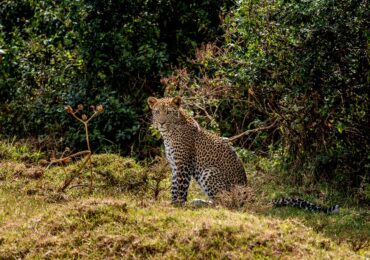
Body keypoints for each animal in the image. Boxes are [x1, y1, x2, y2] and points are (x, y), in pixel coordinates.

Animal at [149, 96, 340, 213]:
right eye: (157, 112)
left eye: (168, 112)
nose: (161, 122)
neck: (169, 133)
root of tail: (248, 195)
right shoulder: (175, 165)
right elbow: (174, 185)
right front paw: (171, 203)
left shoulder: (183, 164)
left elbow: (180, 188)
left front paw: (177, 205)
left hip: (209, 172)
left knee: (226, 203)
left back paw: (199, 204)